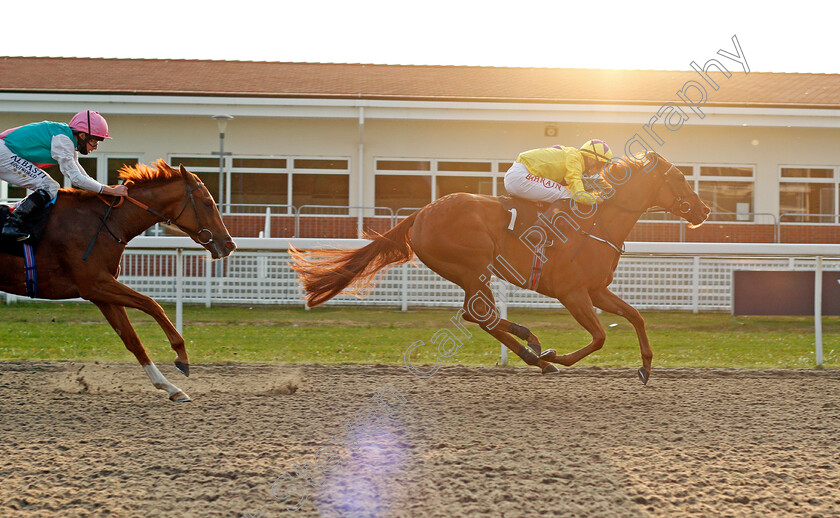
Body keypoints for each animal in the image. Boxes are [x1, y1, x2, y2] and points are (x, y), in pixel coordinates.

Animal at [0, 160, 236, 404]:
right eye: (208, 202)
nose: (229, 244)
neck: (106, 223)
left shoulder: (101, 292)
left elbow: (132, 340)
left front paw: (170, 387)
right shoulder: (95, 283)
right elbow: (152, 304)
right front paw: (181, 356)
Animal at [292, 152, 712, 384]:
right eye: (679, 178)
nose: (704, 210)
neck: (598, 223)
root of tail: (421, 213)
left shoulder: (597, 290)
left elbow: (636, 317)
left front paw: (645, 368)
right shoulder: (573, 293)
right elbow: (598, 338)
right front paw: (556, 357)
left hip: (471, 272)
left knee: (477, 315)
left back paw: (532, 351)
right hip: (472, 266)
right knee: (481, 314)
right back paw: (535, 349)